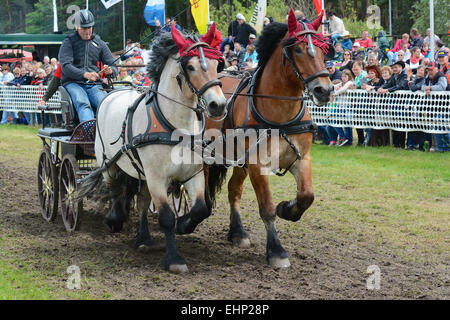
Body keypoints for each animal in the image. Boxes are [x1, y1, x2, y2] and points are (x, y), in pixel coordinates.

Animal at [204, 9, 334, 268]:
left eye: (324, 50)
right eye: (298, 49)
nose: (324, 90)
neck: (280, 115)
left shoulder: (301, 158)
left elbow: (307, 196)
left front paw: (288, 209)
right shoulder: (258, 165)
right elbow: (266, 207)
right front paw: (276, 250)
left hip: (239, 160)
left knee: (234, 190)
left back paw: (237, 232)